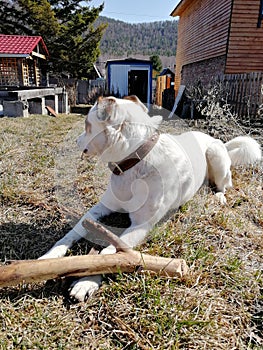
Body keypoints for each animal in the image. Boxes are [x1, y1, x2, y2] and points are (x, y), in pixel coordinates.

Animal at [39, 95, 262, 300]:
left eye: (87, 125)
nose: (76, 141)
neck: (135, 163)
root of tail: (218, 140)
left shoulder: (141, 225)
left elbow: (110, 254)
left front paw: (86, 282)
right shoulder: (101, 207)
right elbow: (72, 233)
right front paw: (50, 258)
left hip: (217, 157)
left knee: (224, 185)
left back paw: (219, 197)